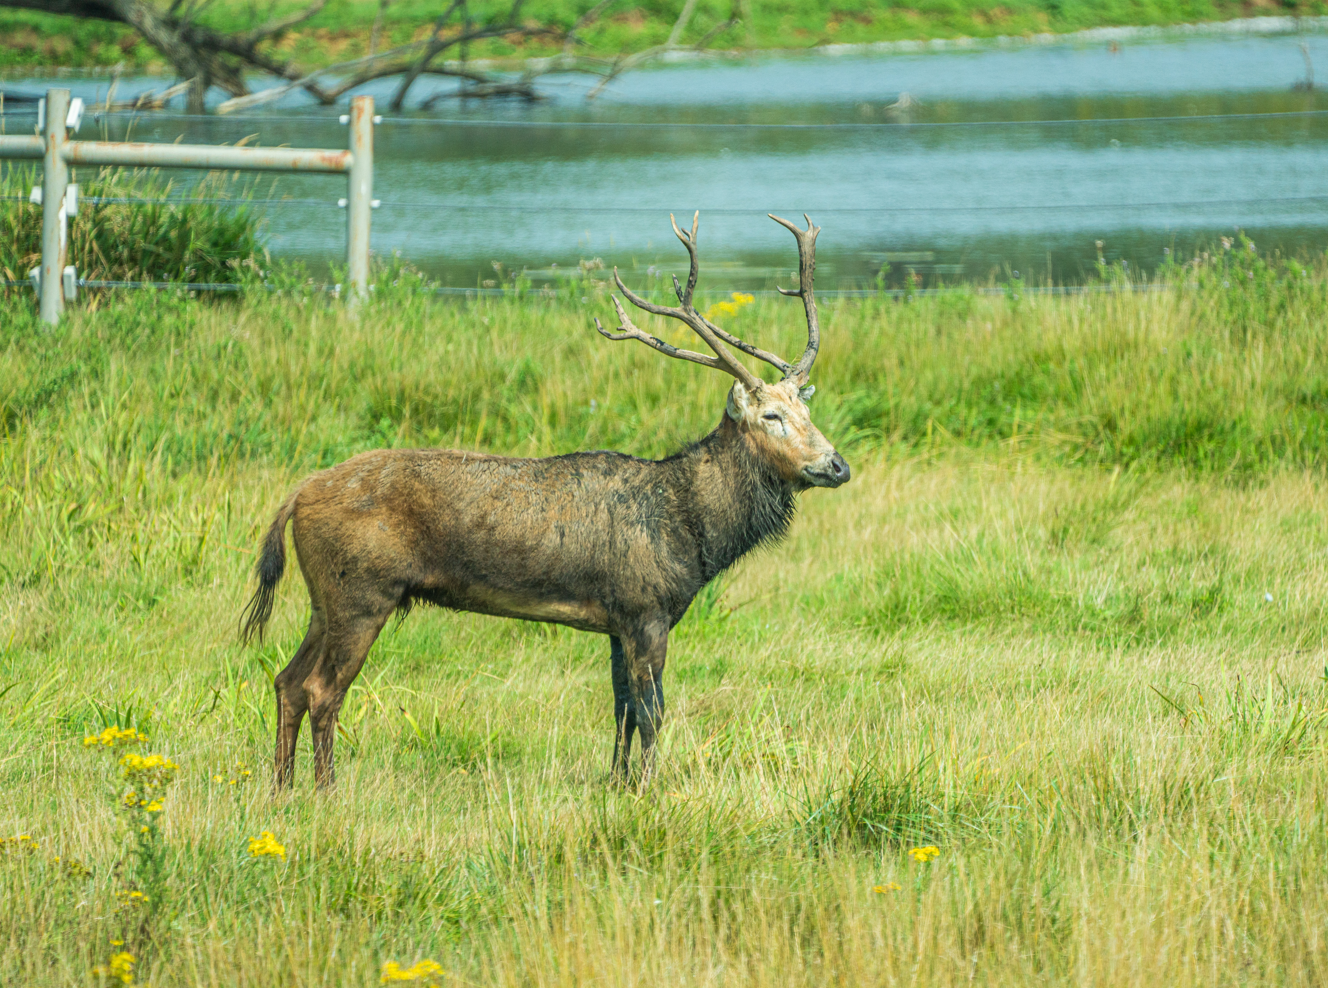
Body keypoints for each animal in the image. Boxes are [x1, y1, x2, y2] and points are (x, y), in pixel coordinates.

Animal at [240, 212, 850, 790]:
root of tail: (296, 496)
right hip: (363, 592)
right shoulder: (646, 609)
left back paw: (282, 789)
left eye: (807, 410)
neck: (695, 534)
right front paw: (650, 789)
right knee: (322, 690)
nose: (836, 465)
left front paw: (617, 783)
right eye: (771, 415)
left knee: (286, 680)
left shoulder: (618, 622)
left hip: (325, 599)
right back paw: (326, 792)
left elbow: (622, 710)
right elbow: (652, 713)